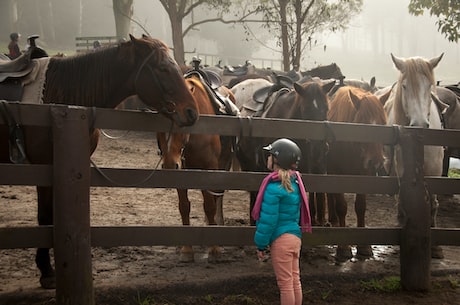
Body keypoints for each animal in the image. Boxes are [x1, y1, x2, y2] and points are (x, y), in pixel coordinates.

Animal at [0, 35, 198, 288]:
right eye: (162, 68)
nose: (192, 112)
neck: (60, 97)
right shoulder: (44, 167)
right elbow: (44, 217)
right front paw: (46, 271)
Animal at [157, 71, 239, 262]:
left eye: (183, 123)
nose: (170, 165)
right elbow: (184, 207)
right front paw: (187, 250)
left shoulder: (209, 170)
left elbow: (209, 206)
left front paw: (214, 248)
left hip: (223, 166)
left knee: (218, 198)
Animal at [328, 85, 388, 258]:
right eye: (362, 123)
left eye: (383, 123)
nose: (376, 161)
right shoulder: (335, 174)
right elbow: (341, 206)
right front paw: (343, 247)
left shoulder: (365, 174)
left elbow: (361, 206)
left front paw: (364, 246)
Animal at [382, 54, 448, 256]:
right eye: (405, 86)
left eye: (429, 86)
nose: (419, 123)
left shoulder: (435, 172)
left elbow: (433, 203)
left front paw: (435, 247)